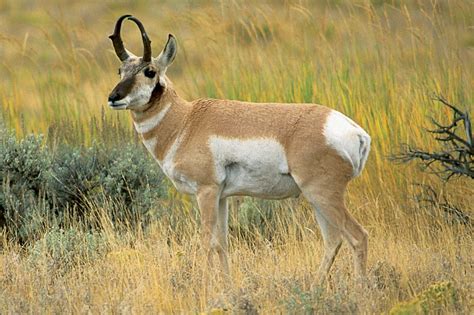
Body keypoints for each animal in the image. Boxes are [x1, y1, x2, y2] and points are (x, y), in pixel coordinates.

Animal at [106, 15, 370, 284]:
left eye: (149, 71)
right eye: (120, 70)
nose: (114, 97)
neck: (186, 121)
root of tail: (354, 131)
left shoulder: (206, 192)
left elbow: (207, 242)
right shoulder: (222, 197)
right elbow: (222, 244)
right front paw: (227, 286)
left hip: (322, 194)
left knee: (357, 237)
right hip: (316, 199)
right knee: (333, 240)